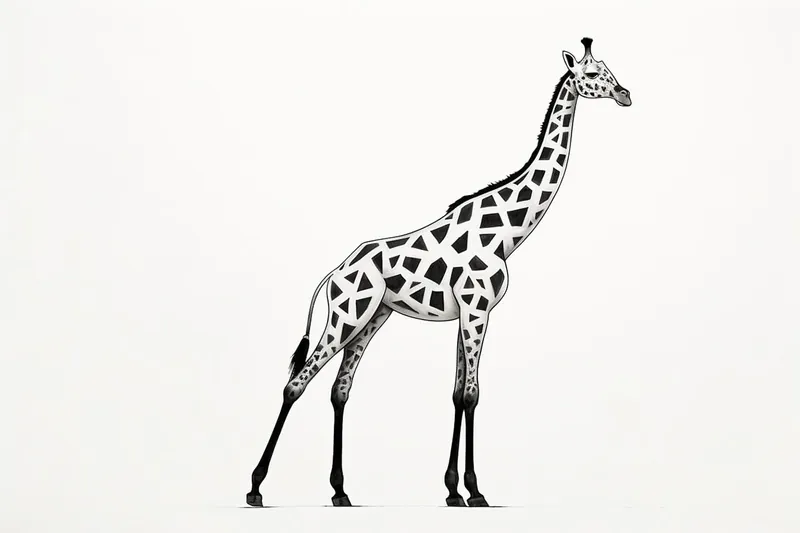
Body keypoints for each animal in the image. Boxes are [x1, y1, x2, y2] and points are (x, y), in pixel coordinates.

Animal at [246, 37, 631, 508]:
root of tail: (334, 274)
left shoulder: (470, 312)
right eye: (593, 75)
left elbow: (459, 394)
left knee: (340, 389)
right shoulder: (477, 309)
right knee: (295, 384)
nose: (626, 95)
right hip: (346, 316)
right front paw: (475, 491)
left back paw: (340, 491)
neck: (507, 231)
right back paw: (255, 487)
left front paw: (453, 490)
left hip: (372, 317)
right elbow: (470, 394)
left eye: (610, 69)